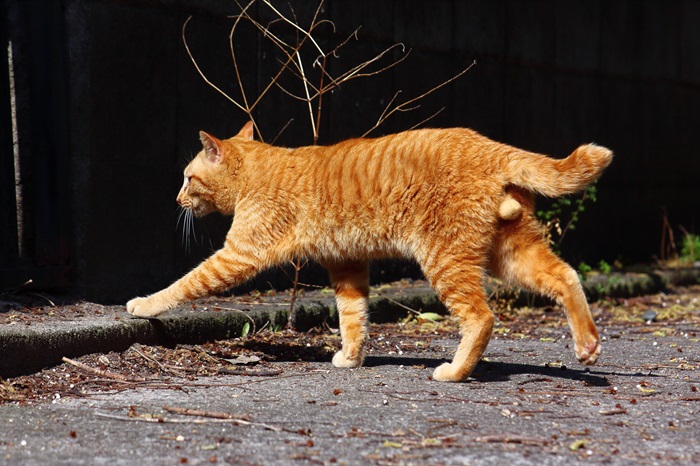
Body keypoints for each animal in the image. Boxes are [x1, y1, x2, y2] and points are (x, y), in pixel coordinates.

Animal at [127, 123, 612, 382]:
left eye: (188, 178)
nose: (177, 199)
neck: (259, 171)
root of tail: (490, 146)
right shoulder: (347, 267)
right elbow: (353, 319)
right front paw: (352, 357)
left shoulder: (238, 254)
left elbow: (185, 283)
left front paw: (145, 304)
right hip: (511, 254)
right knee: (566, 276)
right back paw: (587, 345)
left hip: (446, 260)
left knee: (481, 317)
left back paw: (455, 372)